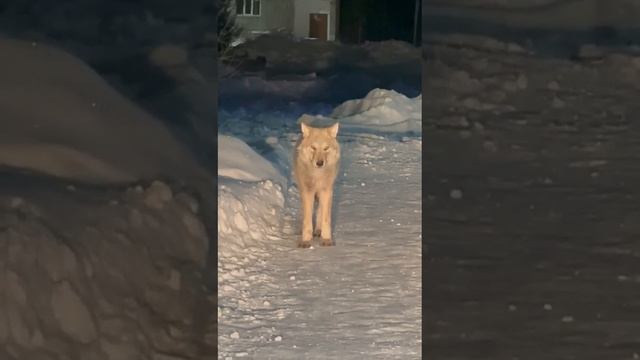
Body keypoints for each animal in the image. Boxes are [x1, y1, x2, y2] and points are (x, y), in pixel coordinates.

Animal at [292, 118, 340, 248]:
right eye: (313, 148)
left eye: (326, 148)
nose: (319, 163)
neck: (318, 175)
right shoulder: (307, 191)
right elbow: (307, 219)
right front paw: (305, 241)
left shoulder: (326, 191)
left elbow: (326, 219)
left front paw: (327, 239)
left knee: (320, 210)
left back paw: (318, 230)